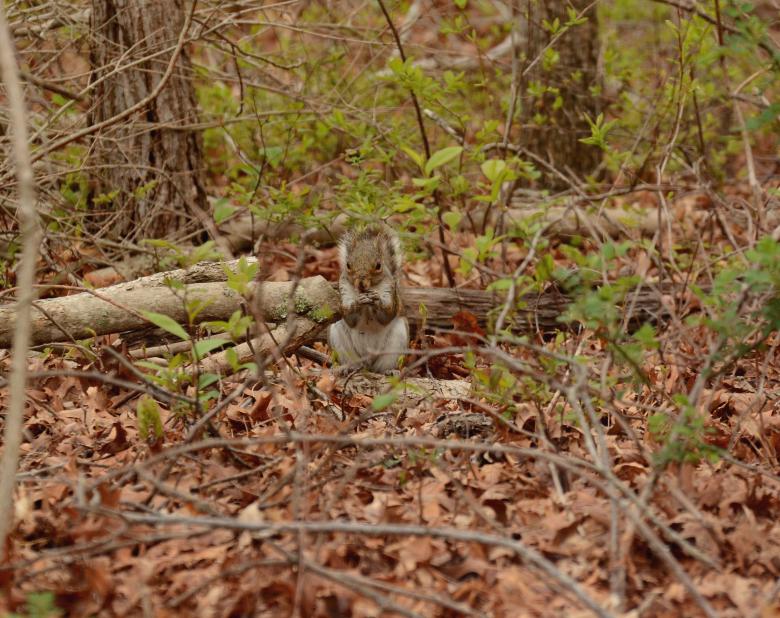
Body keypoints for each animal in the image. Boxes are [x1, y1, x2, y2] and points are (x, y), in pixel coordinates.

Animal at [328, 223, 409, 373]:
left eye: (378, 265)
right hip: (340, 340)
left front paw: (376, 300)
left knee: (383, 367)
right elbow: (349, 317)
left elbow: (387, 315)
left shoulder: (389, 291)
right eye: (348, 265)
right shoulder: (344, 291)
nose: (361, 283)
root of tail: (368, 363)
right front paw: (357, 302)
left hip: (397, 340)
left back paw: (390, 371)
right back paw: (348, 368)